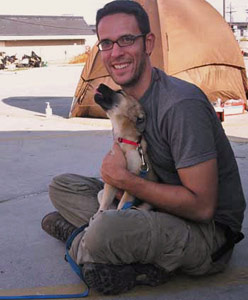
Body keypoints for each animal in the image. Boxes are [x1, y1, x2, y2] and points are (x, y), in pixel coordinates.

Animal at [94, 83, 156, 212]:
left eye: (120, 92)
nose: (100, 84)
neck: (124, 141)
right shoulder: (111, 180)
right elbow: (104, 206)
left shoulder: (131, 181)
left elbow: (121, 207)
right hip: (100, 193)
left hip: (147, 205)